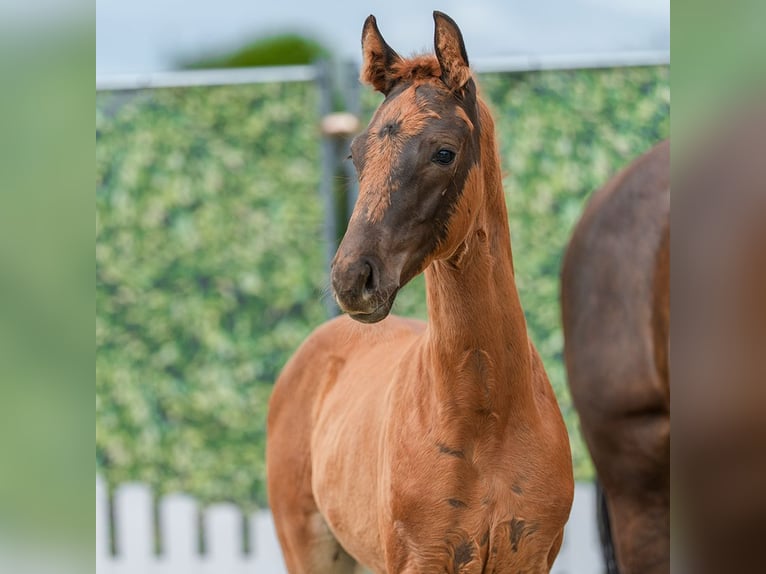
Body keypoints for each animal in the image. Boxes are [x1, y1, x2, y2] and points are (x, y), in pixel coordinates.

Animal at [267, 12, 573, 573]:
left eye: (443, 152)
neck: (485, 418)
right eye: (355, 153)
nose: (351, 279)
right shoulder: (420, 557)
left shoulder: (530, 557)